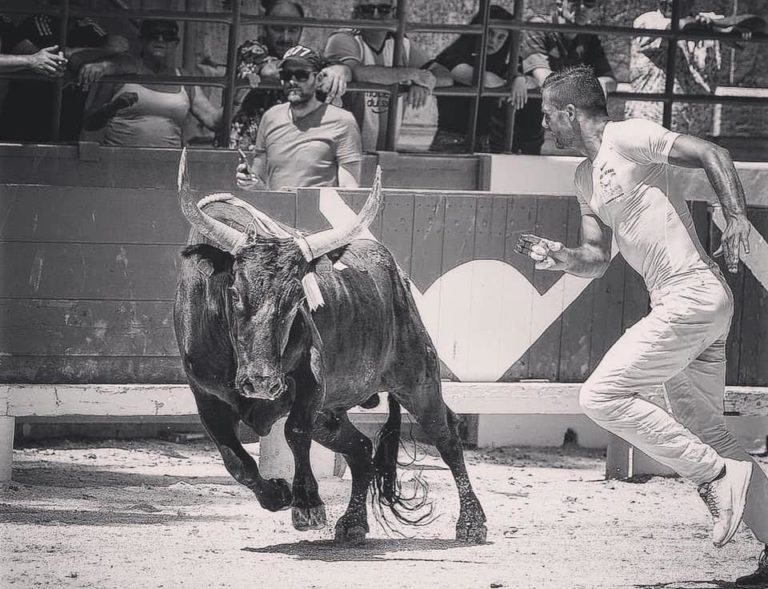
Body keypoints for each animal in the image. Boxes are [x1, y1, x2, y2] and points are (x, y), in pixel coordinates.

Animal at [175, 150, 486, 544]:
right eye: (233, 292)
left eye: (297, 298)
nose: (261, 382)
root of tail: (395, 271)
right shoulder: (206, 397)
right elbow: (235, 459)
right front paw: (277, 494)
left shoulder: (310, 383)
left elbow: (295, 433)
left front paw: (307, 505)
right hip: (331, 414)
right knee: (362, 448)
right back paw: (352, 522)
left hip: (419, 380)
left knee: (447, 435)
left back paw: (472, 522)